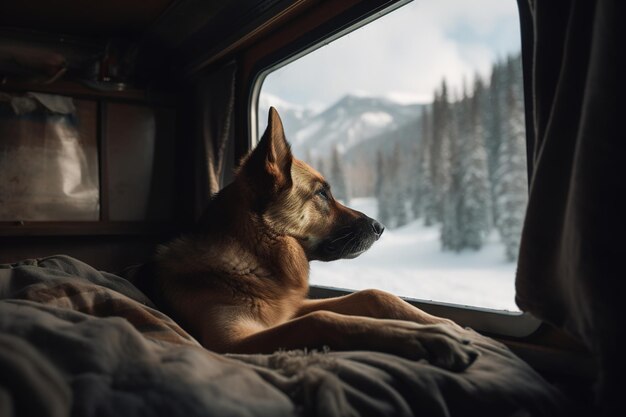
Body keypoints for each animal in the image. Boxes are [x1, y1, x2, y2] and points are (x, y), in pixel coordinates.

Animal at [149, 107, 476, 370]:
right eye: (321, 194)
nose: (380, 227)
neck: (253, 257)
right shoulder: (230, 342)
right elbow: (323, 318)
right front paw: (425, 337)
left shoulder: (292, 310)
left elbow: (370, 294)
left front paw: (442, 324)